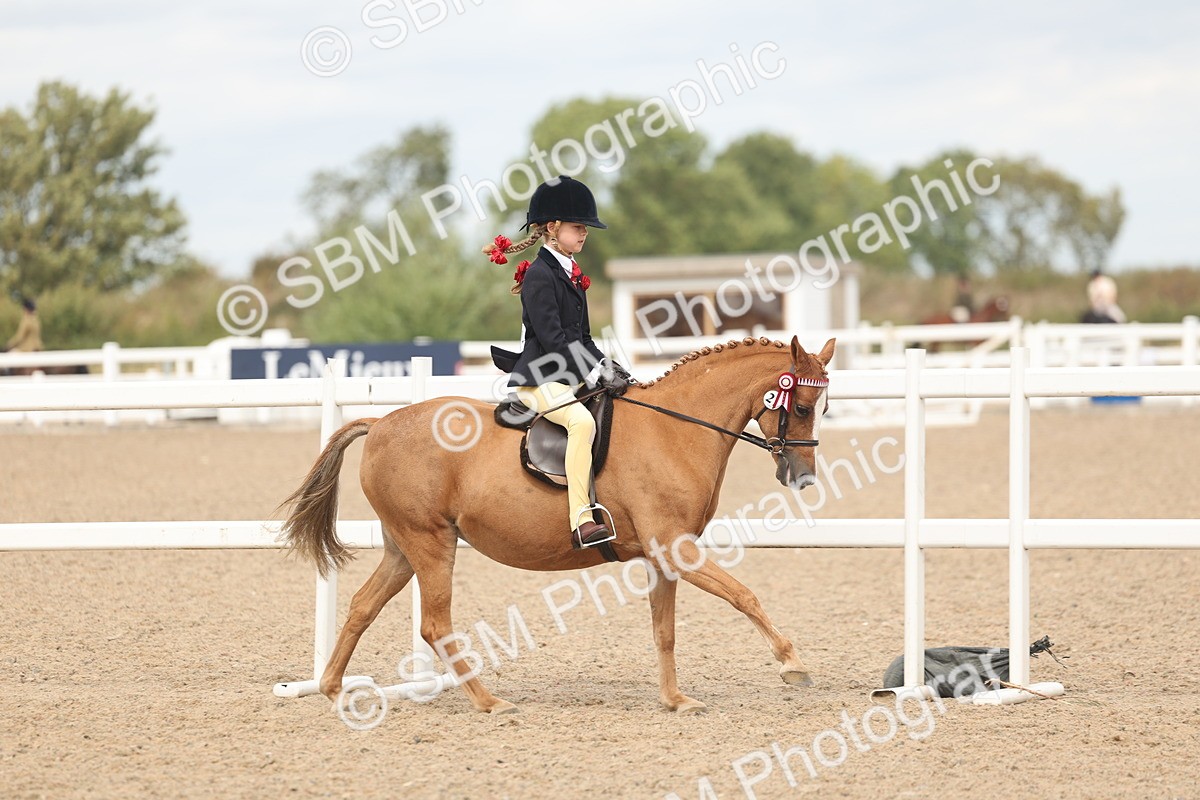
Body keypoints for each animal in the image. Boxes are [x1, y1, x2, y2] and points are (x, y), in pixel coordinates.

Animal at [278, 335, 836, 714]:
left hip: (403, 548)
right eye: (803, 406)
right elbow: (744, 596)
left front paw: (676, 699)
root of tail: (381, 424)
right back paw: (489, 702)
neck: (674, 430)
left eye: (822, 408)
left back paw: (334, 690)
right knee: (435, 624)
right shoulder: (676, 547)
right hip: (431, 543)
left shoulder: (663, 556)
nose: (803, 477)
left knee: (362, 606)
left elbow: (665, 631)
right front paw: (792, 664)